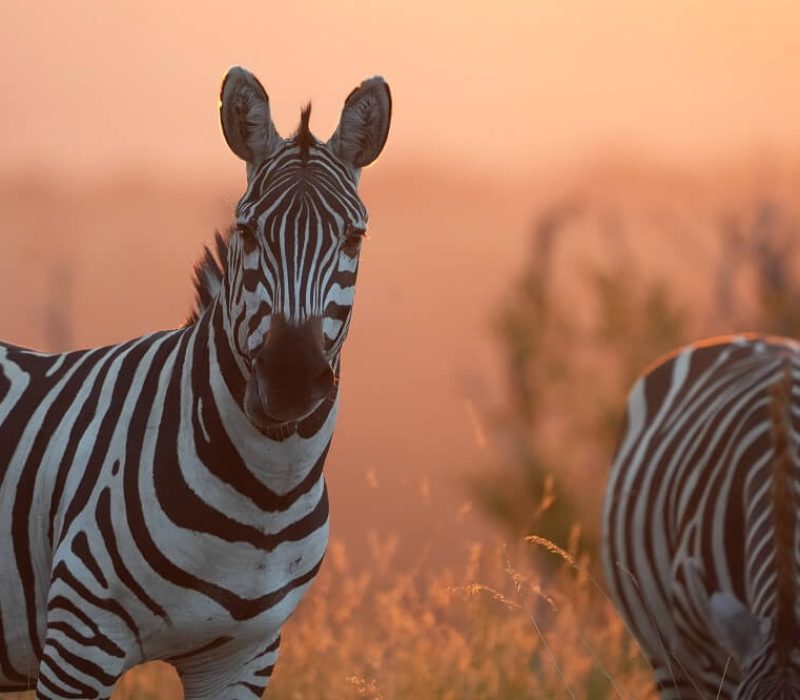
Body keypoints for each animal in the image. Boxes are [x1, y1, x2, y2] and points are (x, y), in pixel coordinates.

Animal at [0, 66, 391, 699]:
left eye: (354, 240)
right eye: (247, 232)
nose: (290, 380)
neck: (268, 494)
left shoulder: (242, 656)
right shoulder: (79, 642)